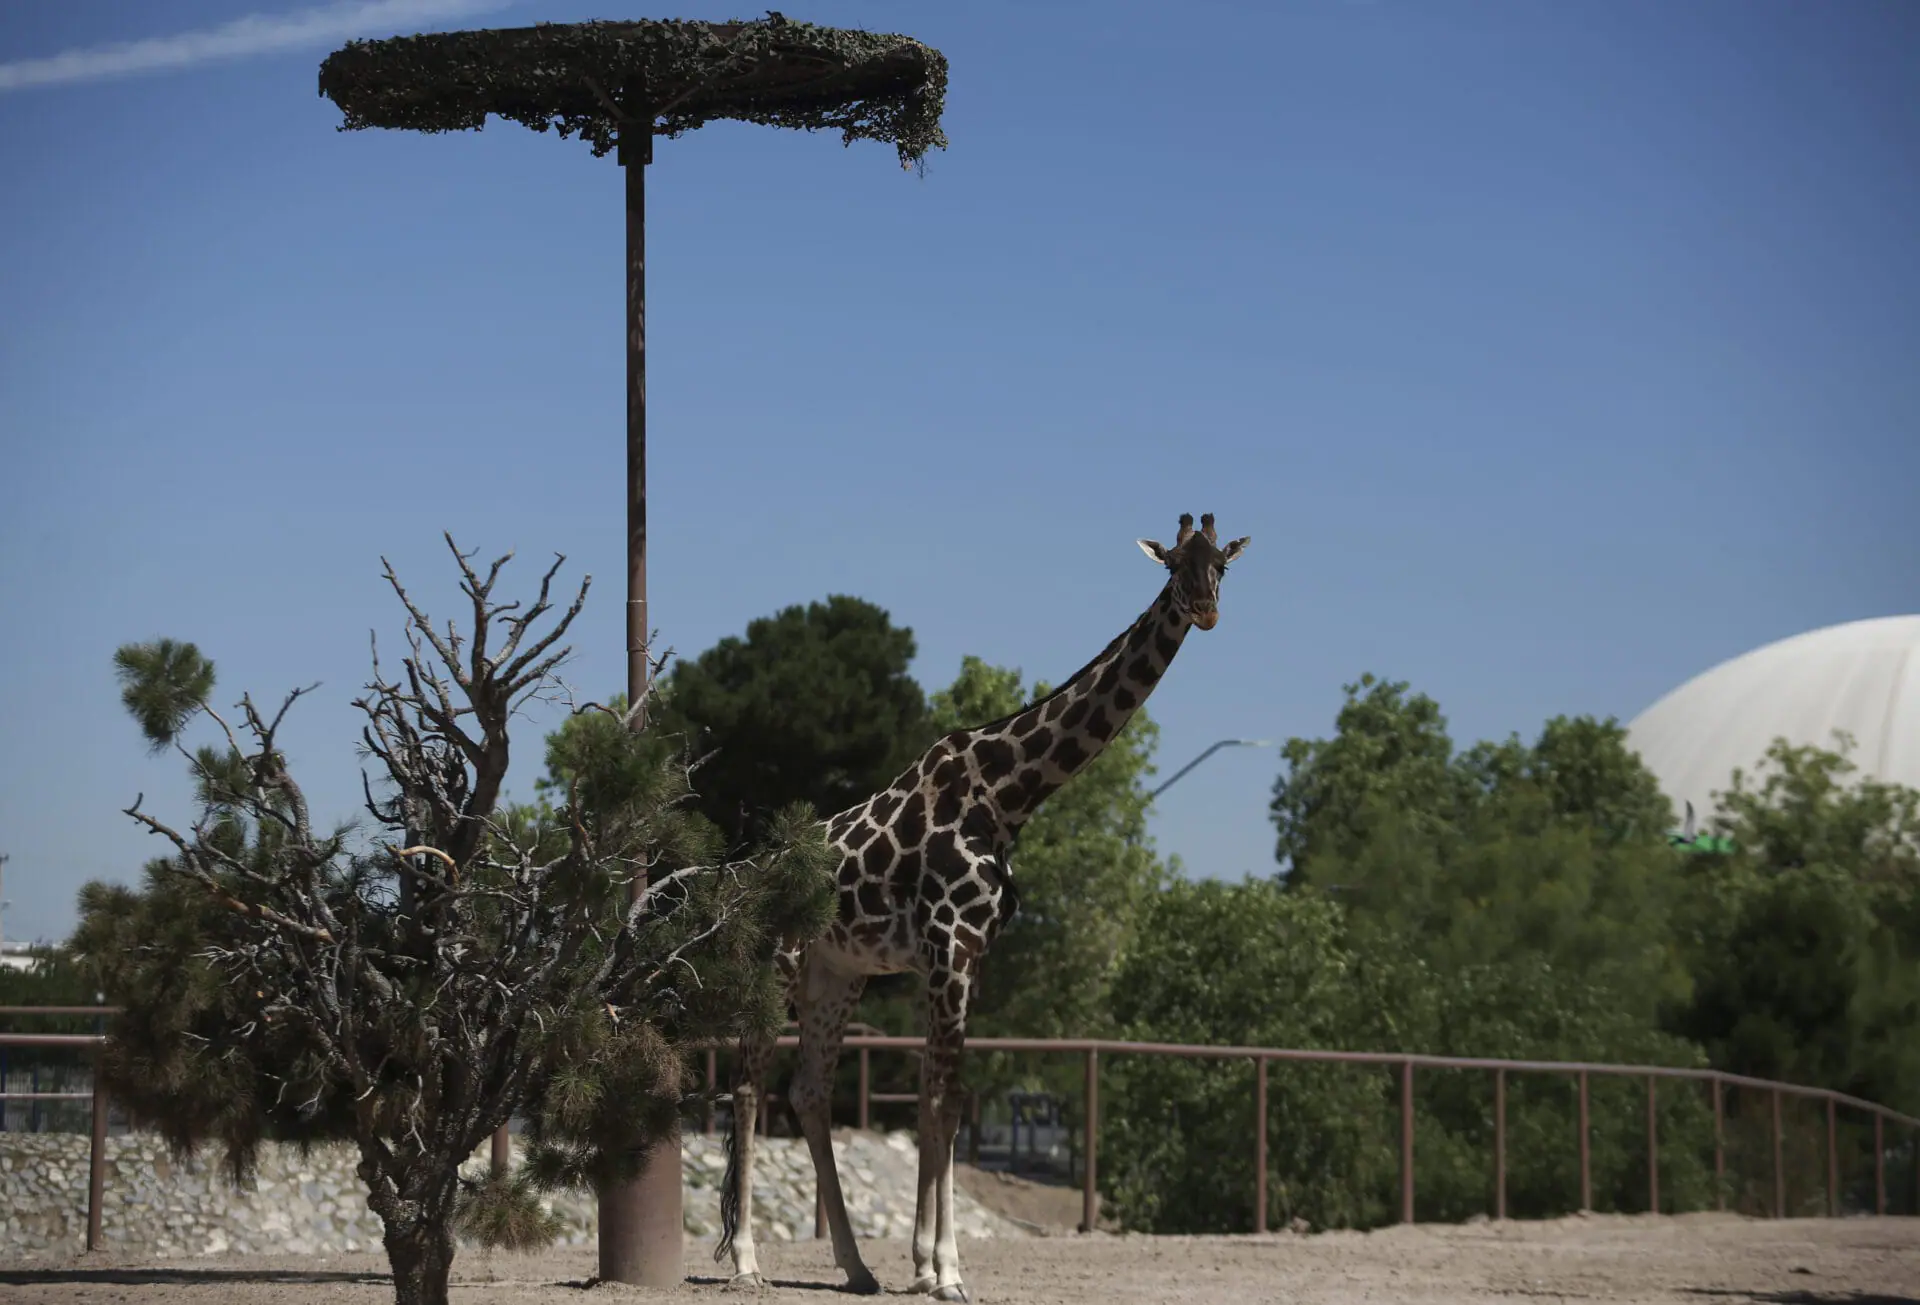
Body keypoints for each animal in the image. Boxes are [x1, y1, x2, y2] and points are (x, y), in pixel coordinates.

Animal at [718, 514, 1244, 1297]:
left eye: (1223, 566)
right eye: (1174, 564)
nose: (1205, 609)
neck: (1006, 796)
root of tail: (749, 878)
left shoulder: (968, 957)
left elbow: (947, 1102)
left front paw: (922, 1265)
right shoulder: (948, 949)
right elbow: (943, 1099)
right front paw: (943, 1271)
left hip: (836, 974)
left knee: (808, 1090)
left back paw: (857, 1265)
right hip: (775, 961)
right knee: (750, 1085)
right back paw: (749, 1261)